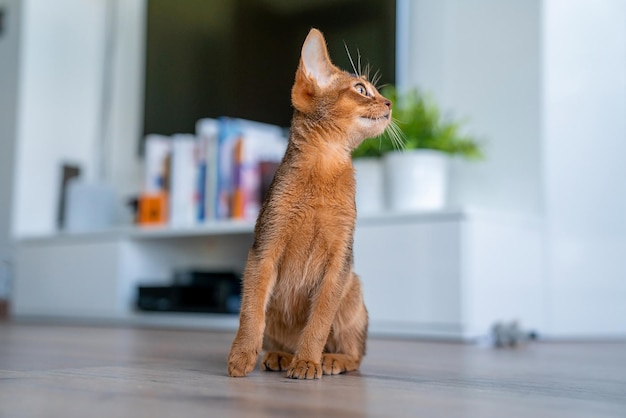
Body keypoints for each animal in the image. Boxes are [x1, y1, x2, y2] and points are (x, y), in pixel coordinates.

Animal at [224, 27, 390, 378]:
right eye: (360, 89)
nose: (390, 102)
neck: (324, 170)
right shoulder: (264, 249)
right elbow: (250, 311)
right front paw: (242, 355)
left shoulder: (339, 262)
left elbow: (320, 320)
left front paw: (307, 361)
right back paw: (278, 355)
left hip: (353, 289)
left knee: (357, 354)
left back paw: (330, 359)